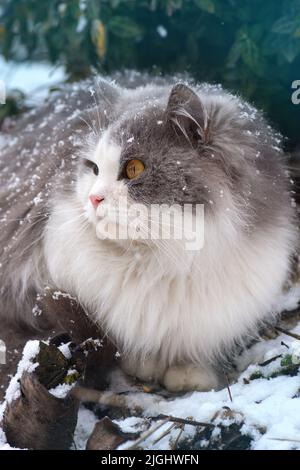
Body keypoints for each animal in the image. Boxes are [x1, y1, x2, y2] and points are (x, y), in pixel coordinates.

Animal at [0, 77, 298, 392]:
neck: (165, 261)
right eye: (93, 169)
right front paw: (145, 365)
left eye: (133, 169)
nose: (94, 198)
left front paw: (189, 372)